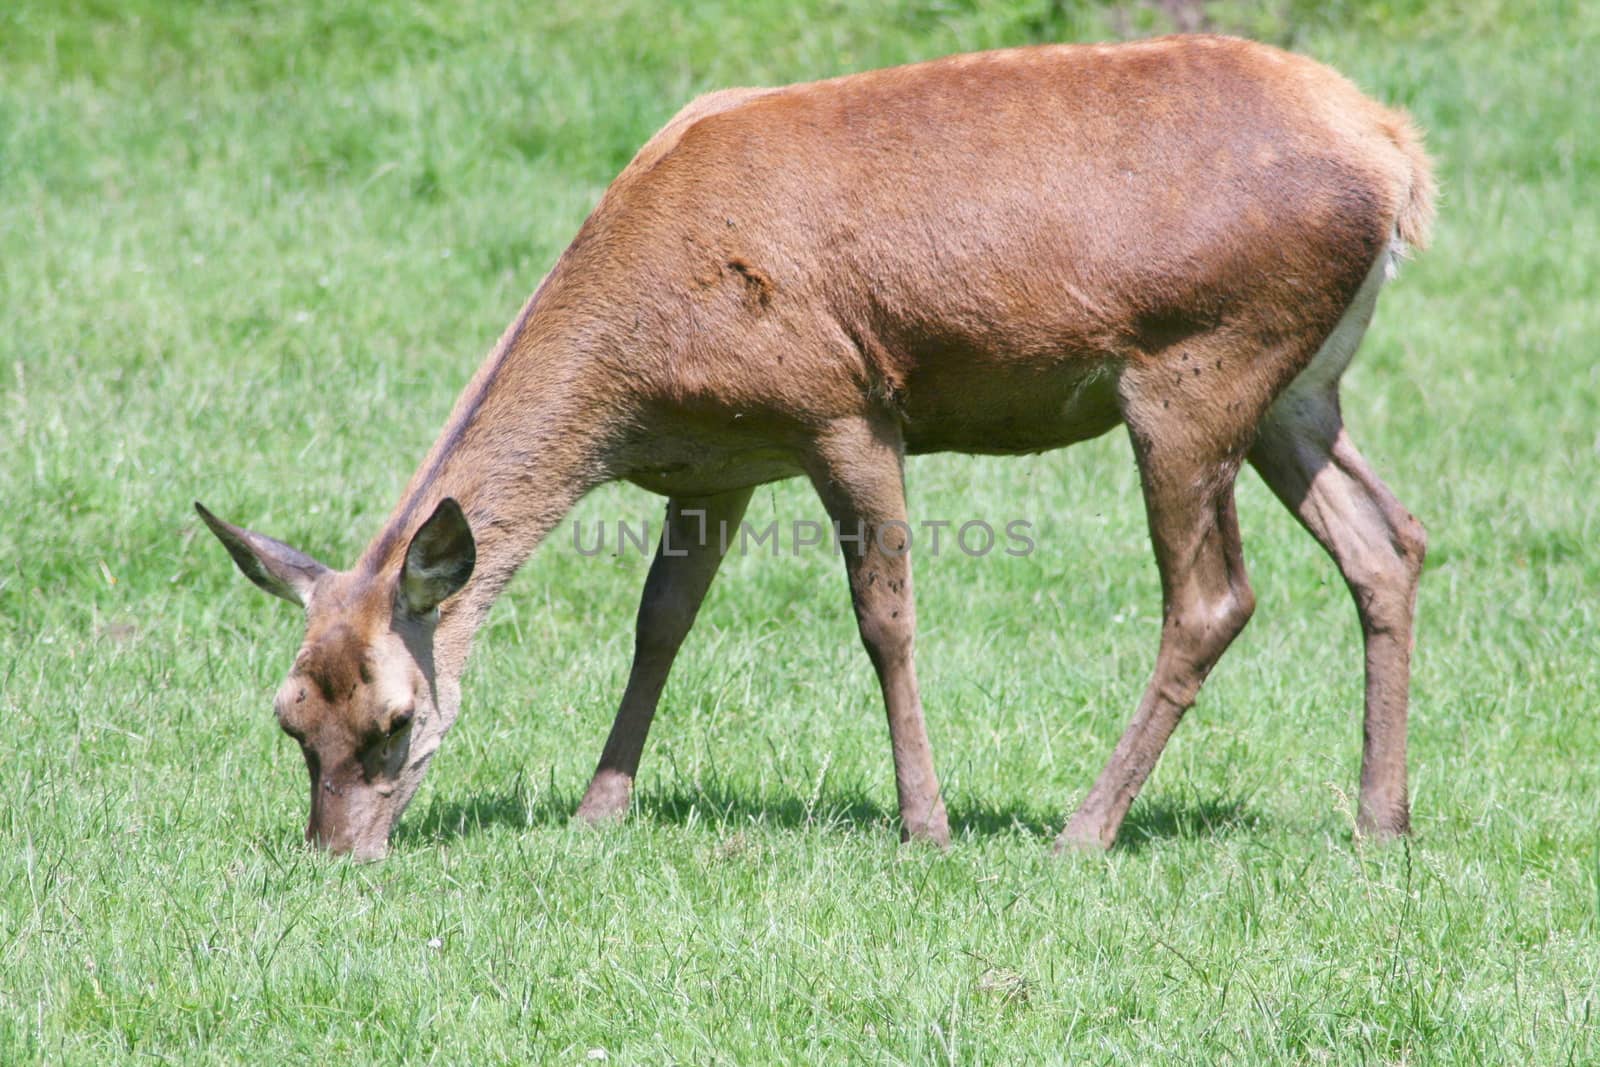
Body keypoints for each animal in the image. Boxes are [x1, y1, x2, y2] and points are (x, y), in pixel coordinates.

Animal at [200, 35, 1440, 857]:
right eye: (289, 715)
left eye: (394, 721)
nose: (334, 850)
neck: (640, 376)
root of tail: (1396, 156)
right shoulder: (717, 464)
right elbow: (661, 621)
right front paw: (600, 807)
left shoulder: (843, 406)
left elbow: (884, 618)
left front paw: (925, 823)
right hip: (1298, 391)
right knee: (1389, 541)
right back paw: (1380, 816)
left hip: (1198, 366)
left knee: (1213, 596)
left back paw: (1083, 826)